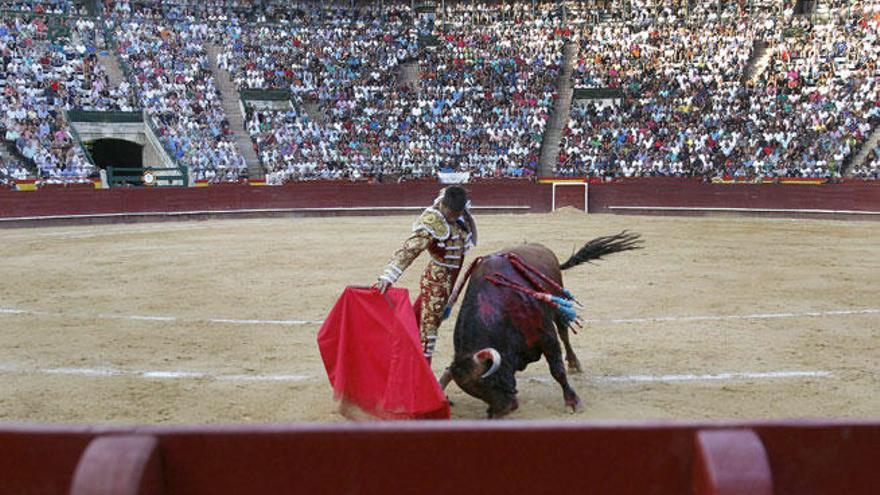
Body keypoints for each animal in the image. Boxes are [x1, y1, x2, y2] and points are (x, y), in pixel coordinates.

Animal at [444, 232, 644, 418]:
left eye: (490, 380)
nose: (503, 410)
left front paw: (573, 402)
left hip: (559, 305)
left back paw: (574, 364)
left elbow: (557, 371)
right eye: (475, 392)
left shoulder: (547, 338)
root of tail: (544, 249)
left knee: (564, 335)